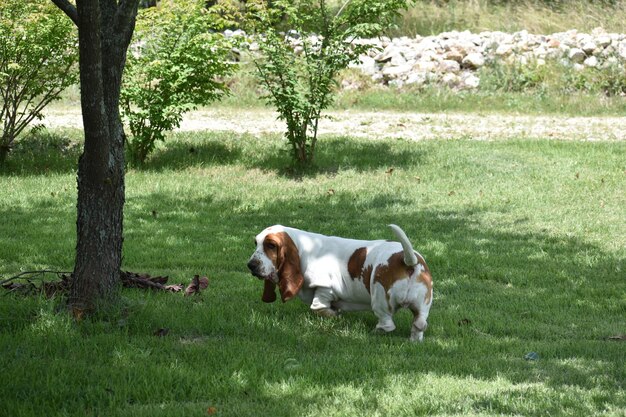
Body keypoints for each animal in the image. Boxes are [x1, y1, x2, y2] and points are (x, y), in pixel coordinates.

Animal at [246, 224, 432, 342]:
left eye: (271, 245)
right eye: (256, 243)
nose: (251, 265)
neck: (303, 249)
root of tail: (407, 261)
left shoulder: (324, 288)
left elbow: (318, 307)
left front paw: (335, 316)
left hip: (379, 298)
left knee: (387, 324)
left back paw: (375, 332)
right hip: (423, 303)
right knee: (419, 323)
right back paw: (414, 340)